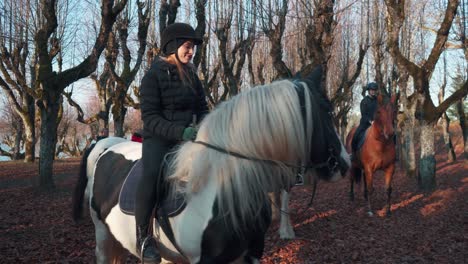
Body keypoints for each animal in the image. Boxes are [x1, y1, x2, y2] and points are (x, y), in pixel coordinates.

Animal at [73, 76, 350, 262]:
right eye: (327, 111)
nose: (344, 163)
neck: (225, 187)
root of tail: (104, 144)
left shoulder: (250, 255)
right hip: (103, 235)